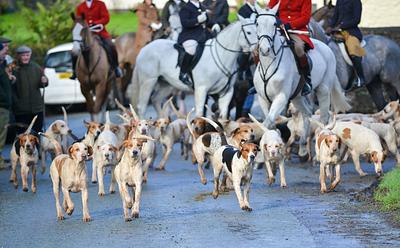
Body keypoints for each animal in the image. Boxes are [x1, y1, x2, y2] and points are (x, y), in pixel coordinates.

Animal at [130, 16, 258, 119]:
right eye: (248, 32)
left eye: (257, 31)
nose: (257, 50)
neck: (222, 55)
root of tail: (145, 48)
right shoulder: (201, 90)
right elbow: (200, 115)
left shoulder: (226, 92)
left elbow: (223, 116)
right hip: (148, 82)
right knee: (142, 107)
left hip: (166, 84)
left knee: (155, 100)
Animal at [253, 4, 350, 159]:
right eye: (257, 23)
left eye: (274, 24)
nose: (264, 49)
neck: (269, 64)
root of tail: (327, 47)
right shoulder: (263, 99)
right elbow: (270, 123)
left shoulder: (281, 98)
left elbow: (267, 123)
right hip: (297, 97)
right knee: (307, 113)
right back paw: (303, 147)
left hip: (323, 90)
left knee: (323, 118)